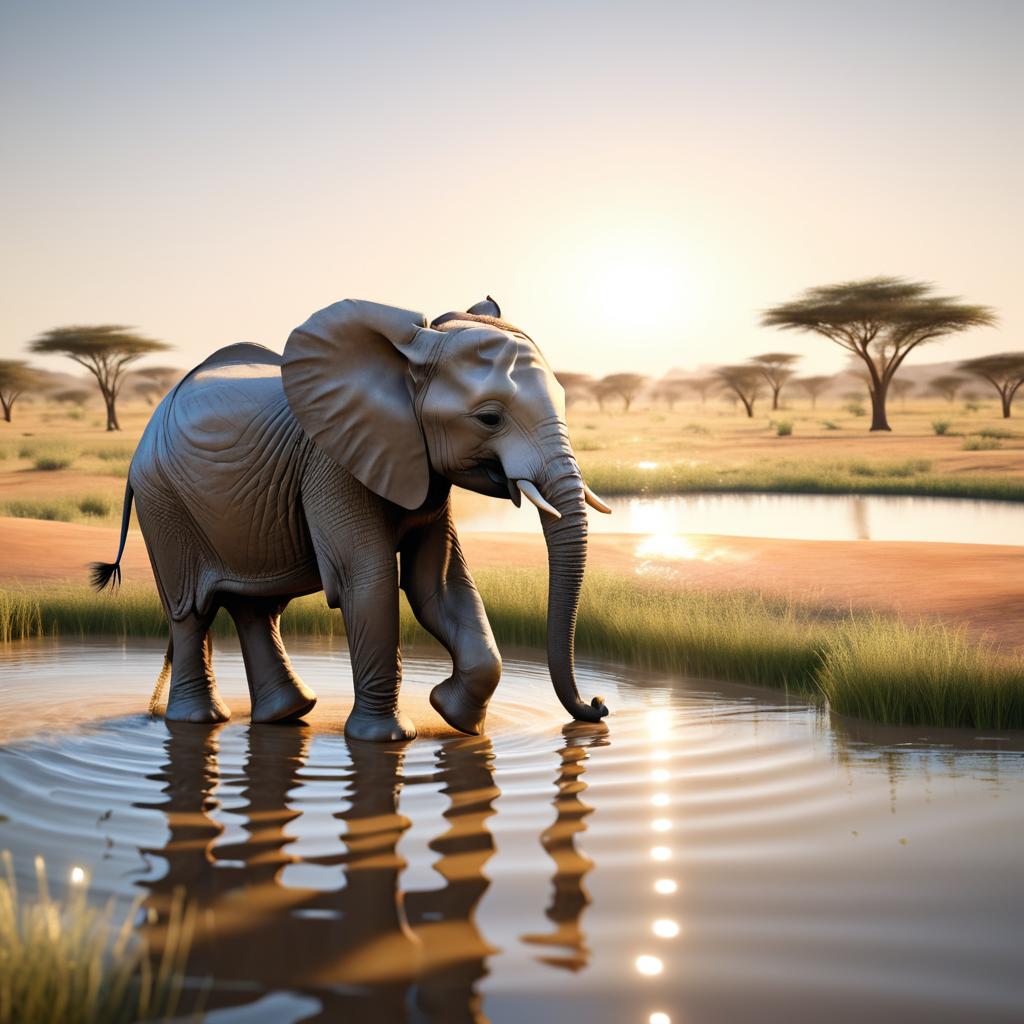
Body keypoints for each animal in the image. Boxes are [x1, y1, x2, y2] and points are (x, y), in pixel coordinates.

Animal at [92, 294, 610, 737]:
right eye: (489, 419)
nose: (599, 706)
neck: (403, 365)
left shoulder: (420, 467)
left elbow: (439, 585)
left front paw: (456, 718)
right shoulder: (333, 464)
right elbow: (369, 579)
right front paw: (388, 739)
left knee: (255, 607)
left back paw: (288, 714)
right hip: (164, 504)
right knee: (190, 612)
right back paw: (200, 721)